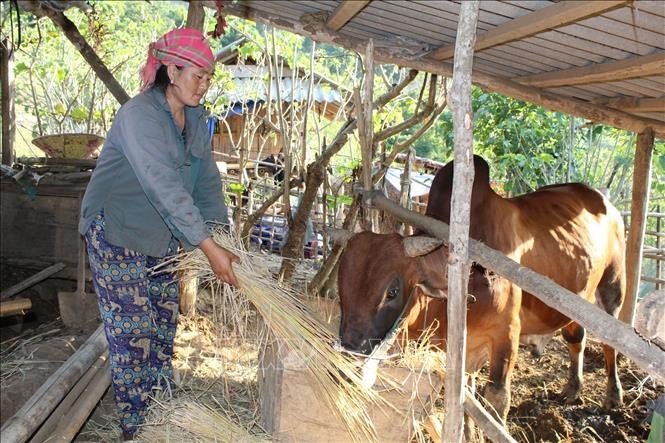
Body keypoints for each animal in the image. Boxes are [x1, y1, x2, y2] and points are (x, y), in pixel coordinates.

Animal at [340, 155, 624, 424]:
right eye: (342, 284)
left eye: (392, 292)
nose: (349, 348)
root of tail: (604, 202)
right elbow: (466, 399)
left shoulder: (506, 335)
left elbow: (496, 401)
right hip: (578, 298)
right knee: (576, 338)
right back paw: (573, 389)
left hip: (612, 289)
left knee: (609, 343)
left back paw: (613, 395)